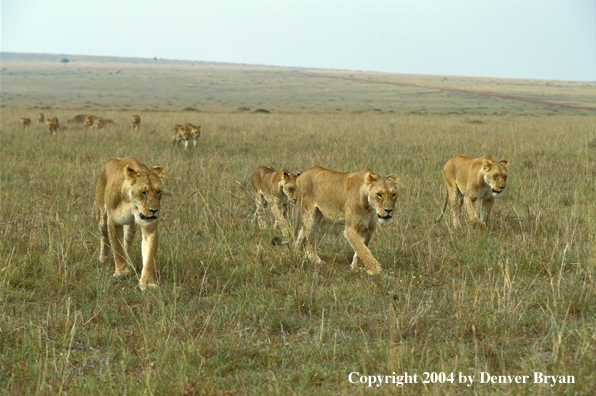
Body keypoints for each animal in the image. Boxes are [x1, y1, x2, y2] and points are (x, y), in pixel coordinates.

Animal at [94, 158, 166, 290]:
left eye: (159, 191)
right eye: (143, 192)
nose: (154, 210)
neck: (132, 202)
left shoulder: (149, 225)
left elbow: (149, 256)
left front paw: (147, 282)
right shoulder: (113, 221)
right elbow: (117, 248)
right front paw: (121, 273)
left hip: (131, 227)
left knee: (126, 246)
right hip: (101, 216)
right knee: (104, 238)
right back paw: (102, 260)